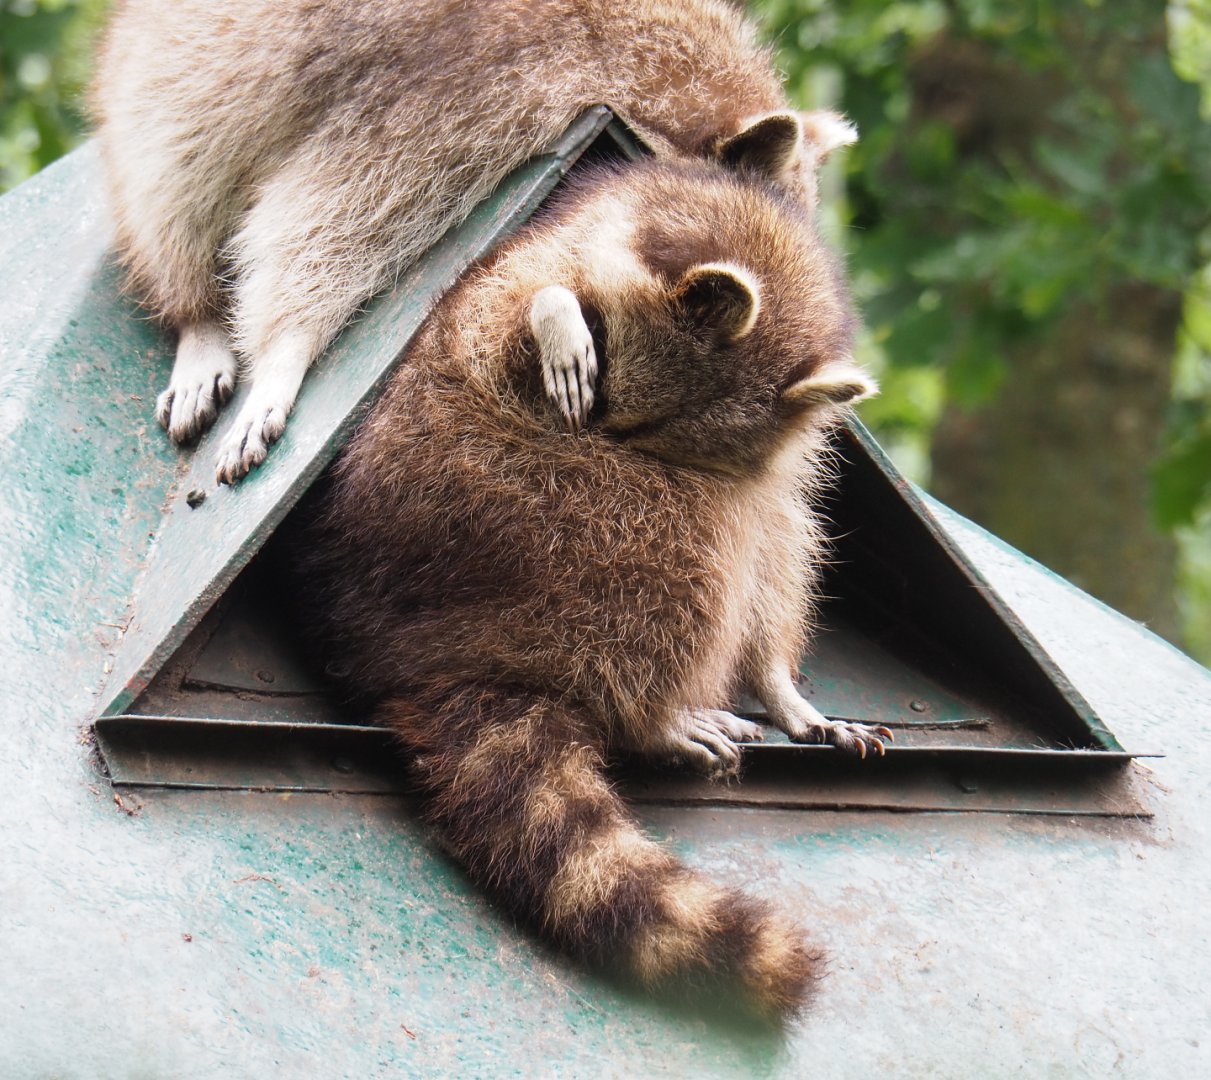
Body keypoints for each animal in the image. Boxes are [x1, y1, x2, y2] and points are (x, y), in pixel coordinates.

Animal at [90, 0, 857, 483]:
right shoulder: (476, 84)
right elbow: (326, 217)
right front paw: (286, 348)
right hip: (175, 70)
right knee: (176, 182)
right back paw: (195, 311)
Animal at [288, 157, 886, 1022]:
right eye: (621, 415)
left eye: (657, 429)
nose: (612, 438)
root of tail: (427, 658)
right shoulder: (536, 276)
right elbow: (516, 309)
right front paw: (557, 314)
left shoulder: (773, 448)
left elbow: (782, 521)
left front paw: (779, 683)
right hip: (507, 530)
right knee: (674, 536)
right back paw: (649, 715)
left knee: (768, 530)